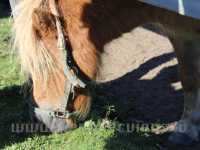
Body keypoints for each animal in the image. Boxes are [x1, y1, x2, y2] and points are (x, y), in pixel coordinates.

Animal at [12, 0, 200, 146]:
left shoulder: (184, 30)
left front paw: (186, 129)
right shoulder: (178, 31)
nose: (41, 121)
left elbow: (189, 78)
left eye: (43, 66)